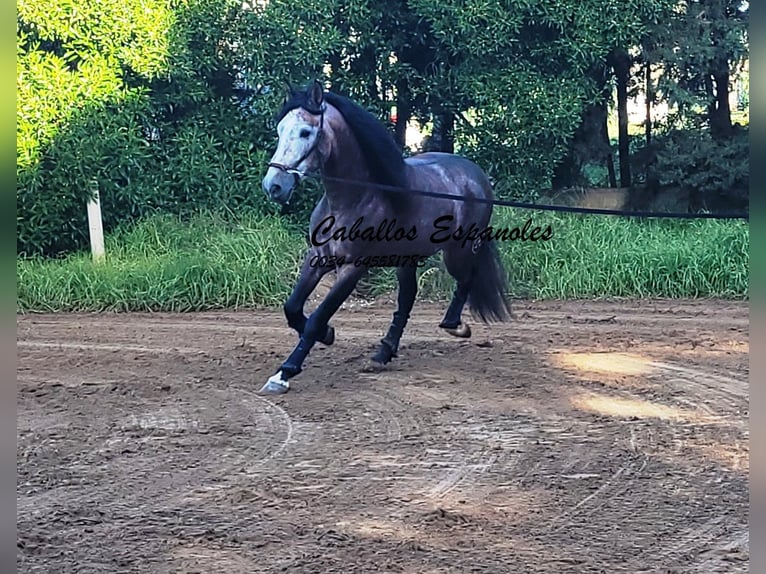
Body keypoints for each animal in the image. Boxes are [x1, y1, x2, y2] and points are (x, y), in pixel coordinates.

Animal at [260, 80, 512, 396]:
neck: (355, 197)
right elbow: (292, 308)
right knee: (407, 300)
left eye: (306, 132)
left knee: (466, 278)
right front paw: (327, 335)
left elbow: (318, 316)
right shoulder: (317, 258)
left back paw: (454, 326)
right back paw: (383, 354)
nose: (274, 186)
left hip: (458, 251)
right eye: (280, 129)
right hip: (408, 258)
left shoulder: (353, 268)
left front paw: (285, 372)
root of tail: (476, 175)